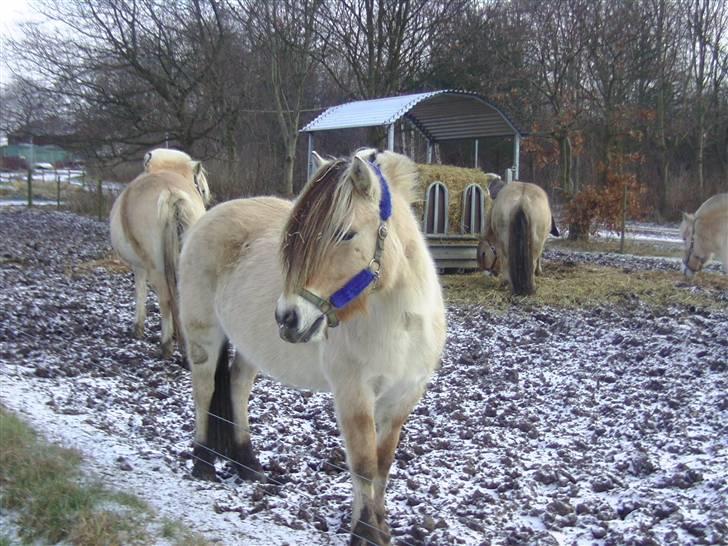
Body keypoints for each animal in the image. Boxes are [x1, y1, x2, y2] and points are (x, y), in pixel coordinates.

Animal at [109, 149, 210, 360]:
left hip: (156, 267)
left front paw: (138, 328)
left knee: (164, 299)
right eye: (202, 189)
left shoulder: (139, 267)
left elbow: (140, 292)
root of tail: (171, 192)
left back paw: (166, 346)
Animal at [179, 149, 446, 544]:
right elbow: (363, 464)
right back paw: (202, 463)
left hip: (250, 348)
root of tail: (208, 216)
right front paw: (364, 532)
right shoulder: (354, 393)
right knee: (205, 391)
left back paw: (248, 464)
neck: (400, 321)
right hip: (204, 335)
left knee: (238, 388)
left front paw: (380, 527)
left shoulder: (402, 397)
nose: (288, 318)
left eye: (346, 233)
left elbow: (382, 464)